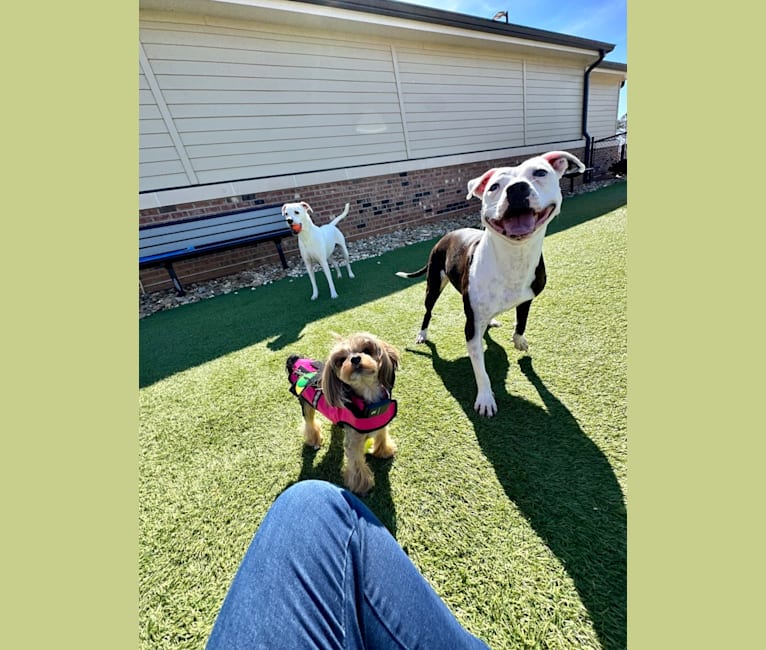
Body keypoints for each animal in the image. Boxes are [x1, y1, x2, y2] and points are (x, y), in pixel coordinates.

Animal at [288, 332, 402, 494]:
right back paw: (313, 439)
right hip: (306, 405)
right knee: (309, 422)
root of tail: (296, 359)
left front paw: (384, 451)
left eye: (367, 350)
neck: (369, 396)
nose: (355, 359)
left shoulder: (382, 424)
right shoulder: (354, 440)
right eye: (341, 360)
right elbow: (356, 462)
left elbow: (382, 436)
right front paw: (362, 485)